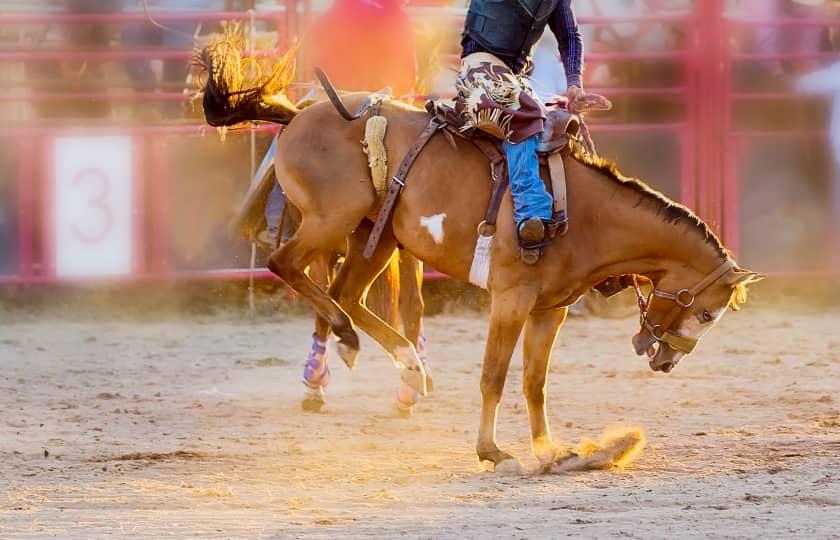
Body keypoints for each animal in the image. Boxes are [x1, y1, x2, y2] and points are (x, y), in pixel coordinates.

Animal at [197, 33, 760, 472]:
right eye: (706, 313)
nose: (666, 361)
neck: (586, 214)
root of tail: (297, 115)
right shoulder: (510, 299)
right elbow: (494, 376)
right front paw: (493, 452)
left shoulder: (549, 310)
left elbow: (535, 382)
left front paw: (550, 451)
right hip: (332, 220)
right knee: (288, 266)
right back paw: (347, 340)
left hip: (377, 237)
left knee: (348, 294)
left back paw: (403, 364)